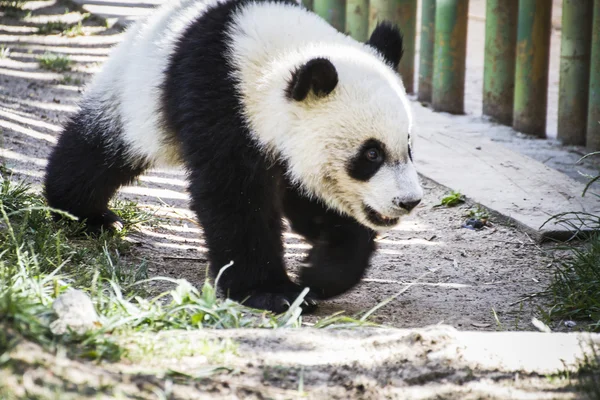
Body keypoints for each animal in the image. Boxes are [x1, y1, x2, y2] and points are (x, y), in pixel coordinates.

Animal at [42, 0, 424, 312]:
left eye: (408, 147)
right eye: (371, 153)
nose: (409, 201)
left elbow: (313, 204)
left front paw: (319, 273)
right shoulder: (218, 97)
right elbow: (234, 196)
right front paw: (271, 293)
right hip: (136, 91)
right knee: (100, 151)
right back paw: (84, 214)